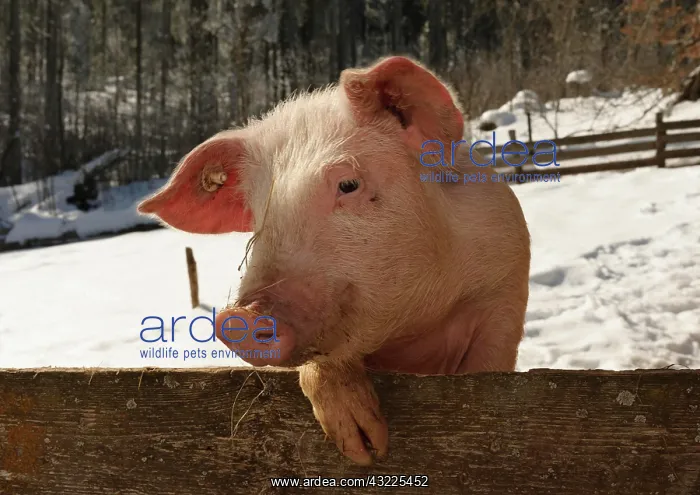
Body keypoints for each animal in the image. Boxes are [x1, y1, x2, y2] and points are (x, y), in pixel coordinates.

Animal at [137, 56, 530, 466]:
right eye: (260, 212)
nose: (239, 317)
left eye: (348, 185)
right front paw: (363, 448)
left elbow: (489, 361)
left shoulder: (506, 279)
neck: (413, 329)